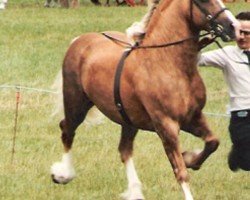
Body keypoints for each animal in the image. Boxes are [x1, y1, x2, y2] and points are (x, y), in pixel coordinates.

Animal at [50, 0, 240, 199]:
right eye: (203, 1)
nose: (233, 27)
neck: (166, 63)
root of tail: (79, 40)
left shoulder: (193, 117)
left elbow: (213, 142)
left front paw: (190, 159)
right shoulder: (166, 125)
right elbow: (180, 171)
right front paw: (187, 162)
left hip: (128, 119)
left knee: (124, 150)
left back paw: (134, 191)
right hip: (76, 103)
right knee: (67, 130)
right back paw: (62, 175)